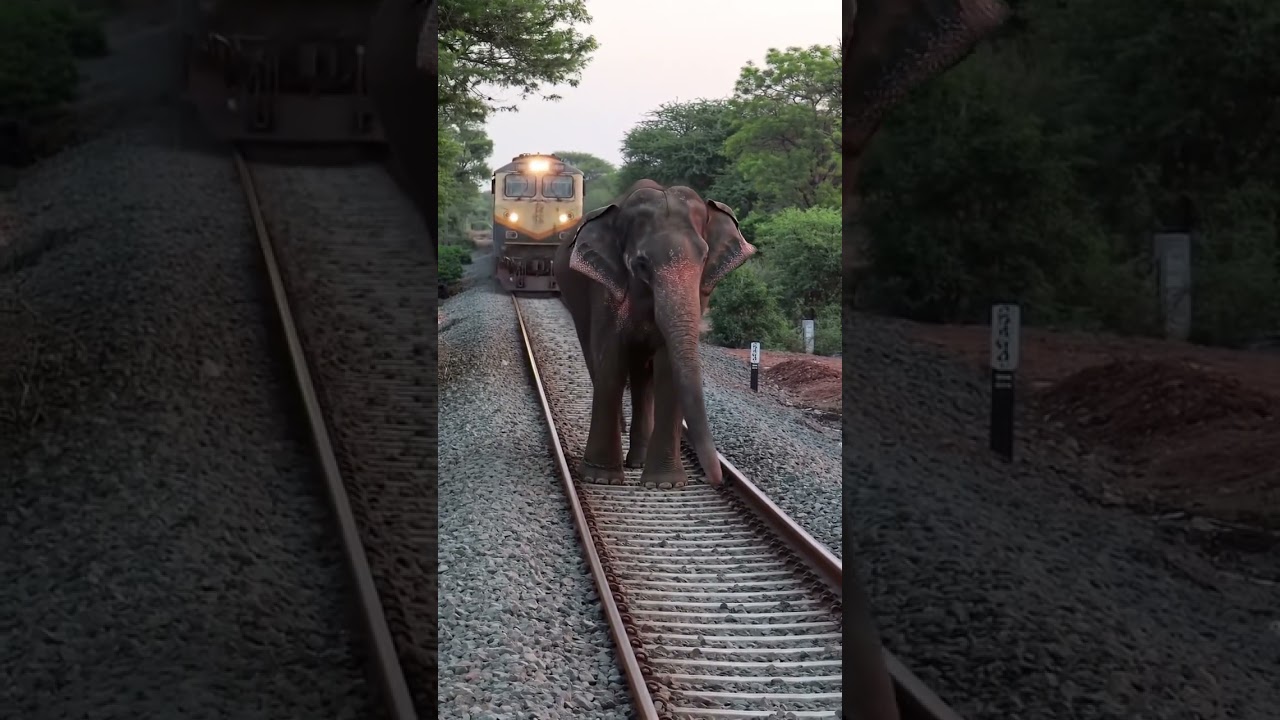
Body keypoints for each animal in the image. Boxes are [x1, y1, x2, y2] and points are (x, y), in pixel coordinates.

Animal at [553, 181, 756, 489]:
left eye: (704, 258)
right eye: (641, 263)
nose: (717, 480)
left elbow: (668, 368)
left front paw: (665, 484)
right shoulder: (606, 291)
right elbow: (611, 362)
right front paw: (601, 479)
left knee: (642, 378)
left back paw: (638, 461)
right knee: (599, 361)